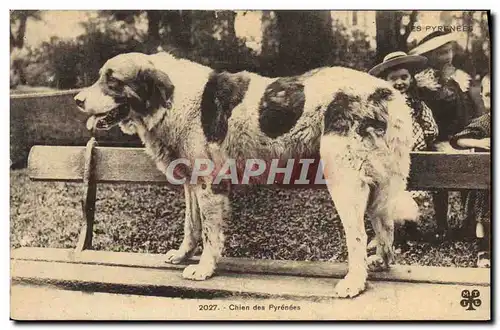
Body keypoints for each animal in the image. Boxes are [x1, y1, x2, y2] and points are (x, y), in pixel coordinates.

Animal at [74, 52, 418, 298]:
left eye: (112, 81)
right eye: (101, 77)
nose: (77, 100)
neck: (171, 100)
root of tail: (385, 92)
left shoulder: (209, 186)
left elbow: (210, 233)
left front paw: (204, 269)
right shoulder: (191, 183)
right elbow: (191, 226)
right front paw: (183, 255)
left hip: (344, 180)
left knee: (357, 235)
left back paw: (355, 282)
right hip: (379, 185)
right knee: (385, 226)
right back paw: (380, 262)